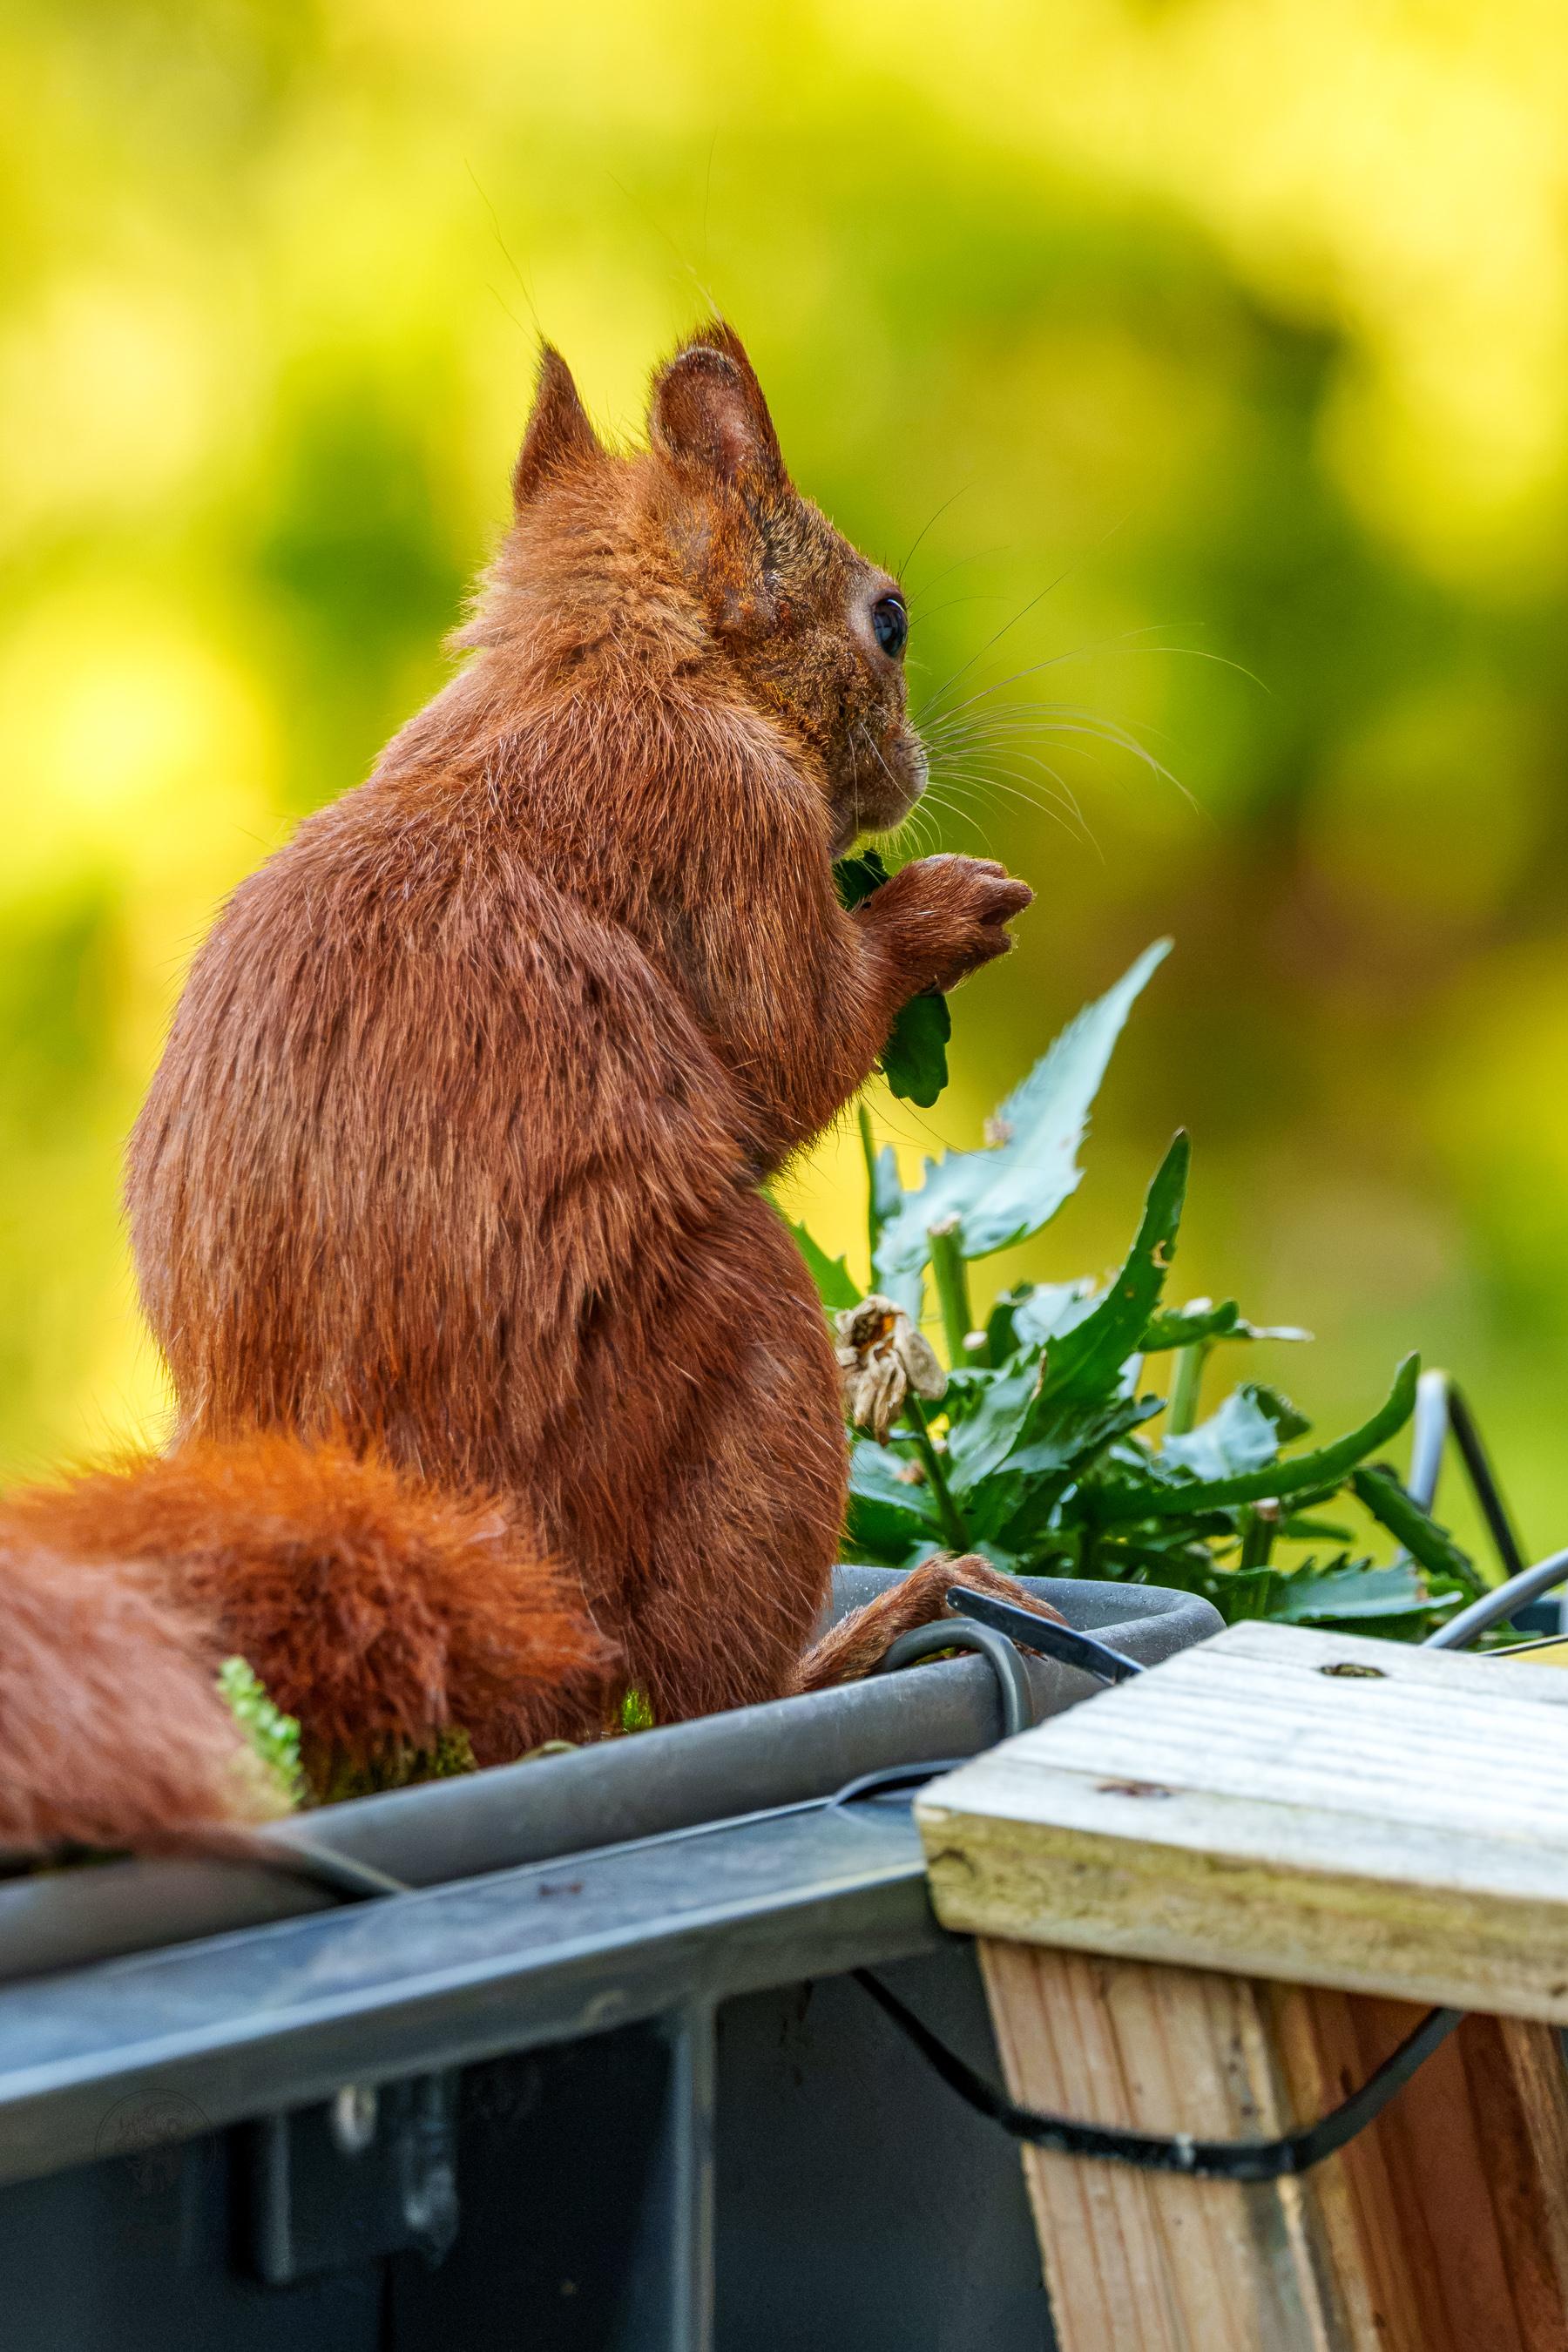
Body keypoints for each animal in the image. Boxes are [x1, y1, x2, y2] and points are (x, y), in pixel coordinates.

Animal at [0, 322, 1050, 1855]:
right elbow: (792, 1051)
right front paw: (944, 911)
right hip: (753, 1367)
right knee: (688, 1704)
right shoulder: (729, 829)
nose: (913, 772)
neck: (604, 671)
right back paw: (880, 1628)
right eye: (890, 620)